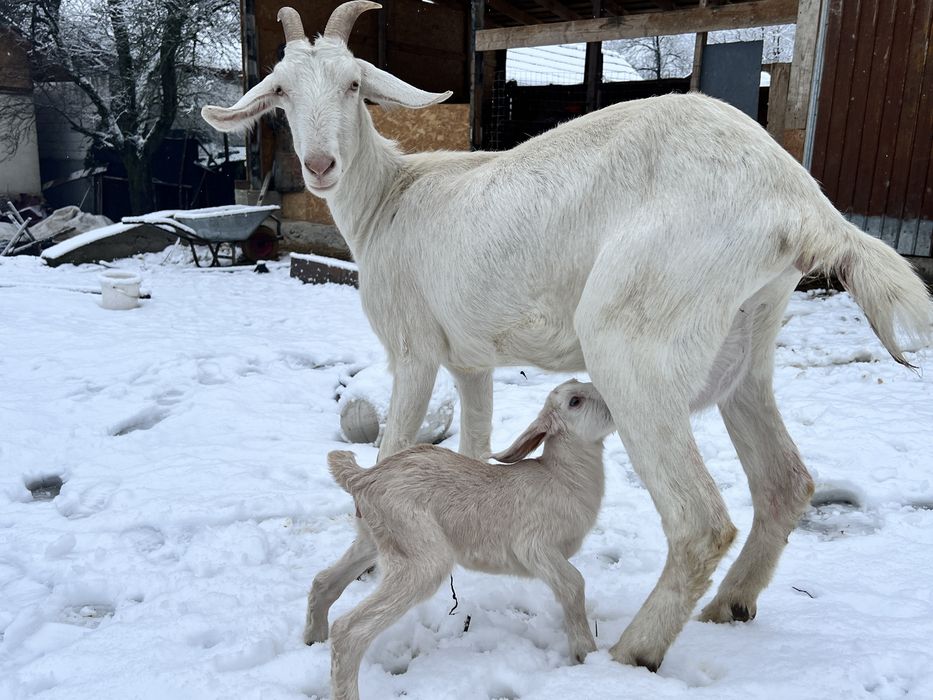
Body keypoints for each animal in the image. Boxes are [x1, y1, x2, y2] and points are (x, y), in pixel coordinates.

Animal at [306, 380, 615, 700]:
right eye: (575, 401)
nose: (611, 401)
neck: (561, 476)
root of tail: (364, 478)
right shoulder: (534, 547)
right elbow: (574, 584)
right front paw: (585, 652)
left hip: (373, 540)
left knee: (324, 583)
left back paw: (313, 640)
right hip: (421, 556)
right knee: (349, 631)